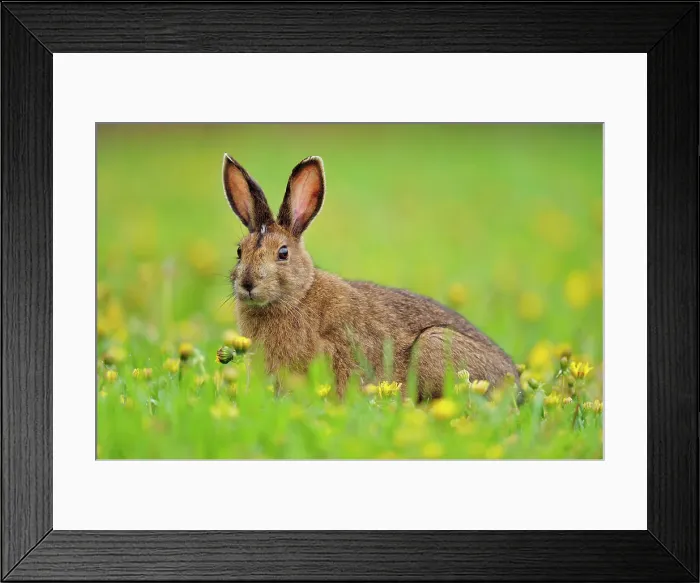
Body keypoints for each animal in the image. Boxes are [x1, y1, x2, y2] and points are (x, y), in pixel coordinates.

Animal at [223, 154, 519, 401]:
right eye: (239, 251)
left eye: (283, 253)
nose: (248, 284)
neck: (298, 295)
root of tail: (516, 385)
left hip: (435, 344)